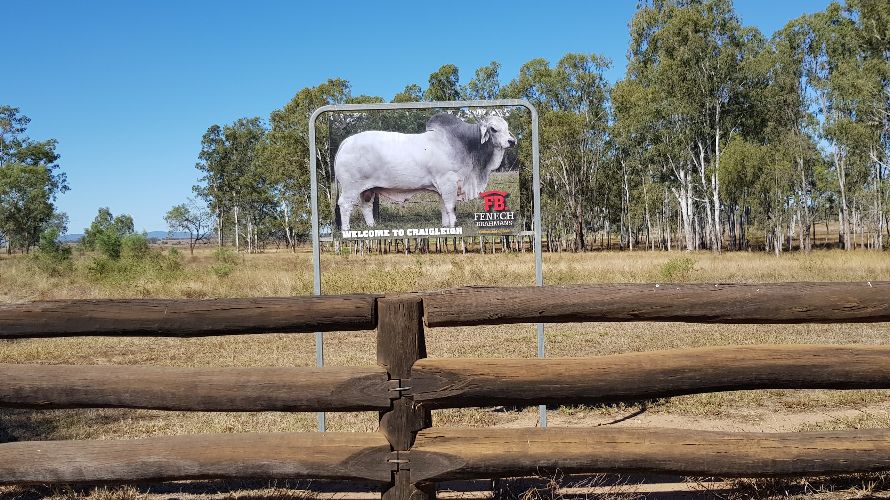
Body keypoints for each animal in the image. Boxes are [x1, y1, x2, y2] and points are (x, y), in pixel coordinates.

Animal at [332, 112, 512, 230]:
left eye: (507, 127)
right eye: (494, 129)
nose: (512, 141)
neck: (464, 144)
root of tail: (346, 142)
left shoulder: (442, 187)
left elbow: (443, 206)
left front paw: (445, 225)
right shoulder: (448, 182)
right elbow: (450, 206)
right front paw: (453, 225)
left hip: (367, 189)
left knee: (366, 206)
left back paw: (372, 226)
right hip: (350, 187)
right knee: (345, 205)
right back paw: (346, 230)